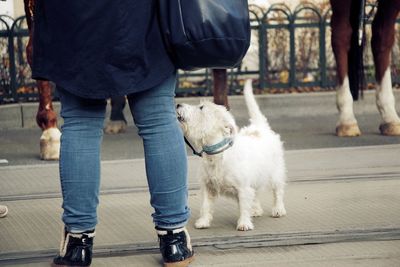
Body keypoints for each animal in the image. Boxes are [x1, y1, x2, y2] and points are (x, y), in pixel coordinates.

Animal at [177, 80, 286, 232]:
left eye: (201, 107)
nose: (178, 104)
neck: (217, 154)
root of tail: (260, 127)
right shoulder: (207, 187)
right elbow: (205, 206)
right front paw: (203, 222)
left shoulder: (243, 187)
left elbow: (244, 206)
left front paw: (244, 223)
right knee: (256, 193)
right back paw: (256, 210)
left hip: (275, 173)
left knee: (278, 191)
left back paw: (278, 209)